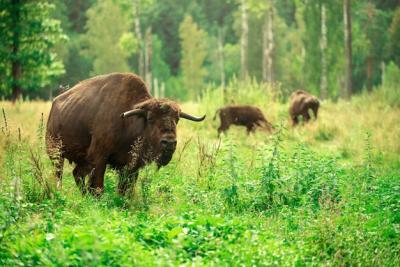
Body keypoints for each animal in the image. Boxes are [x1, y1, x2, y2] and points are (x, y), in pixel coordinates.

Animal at [45, 72, 205, 196]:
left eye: (177, 119)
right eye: (150, 119)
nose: (169, 142)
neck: (133, 121)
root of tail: (55, 104)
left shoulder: (131, 166)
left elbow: (125, 188)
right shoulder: (99, 158)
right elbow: (98, 186)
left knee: (77, 174)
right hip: (56, 154)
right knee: (60, 175)